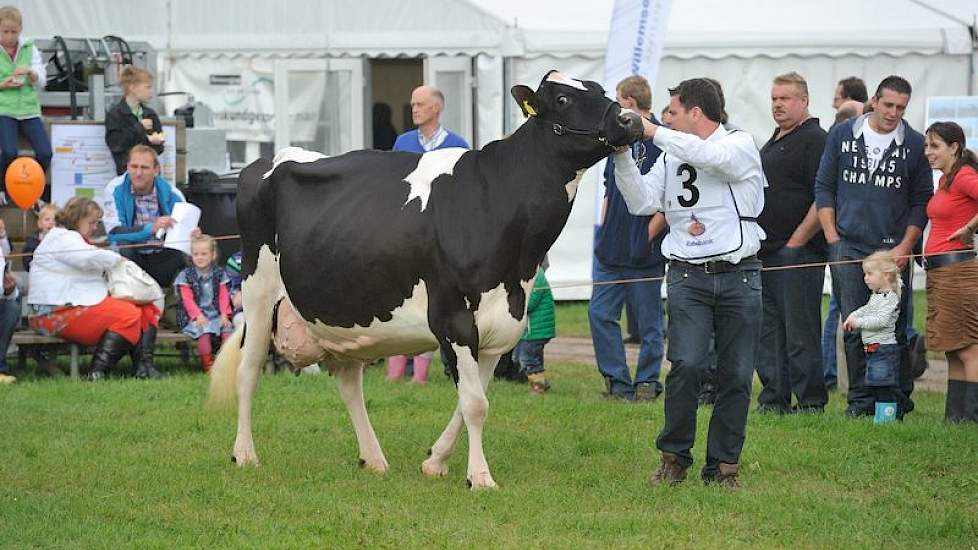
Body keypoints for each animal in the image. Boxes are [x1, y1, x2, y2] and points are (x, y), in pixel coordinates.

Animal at [206, 71, 640, 490]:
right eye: (563, 99)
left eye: (601, 90)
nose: (630, 120)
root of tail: (268, 160)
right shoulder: (453, 317)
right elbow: (475, 405)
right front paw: (480, 477)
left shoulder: (500, 324)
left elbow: (471, 400)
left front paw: (435, 461)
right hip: (258, 291)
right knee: (248, 370)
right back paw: (245, 454)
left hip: (343, 318)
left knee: (349, 383)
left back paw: (373, 458)